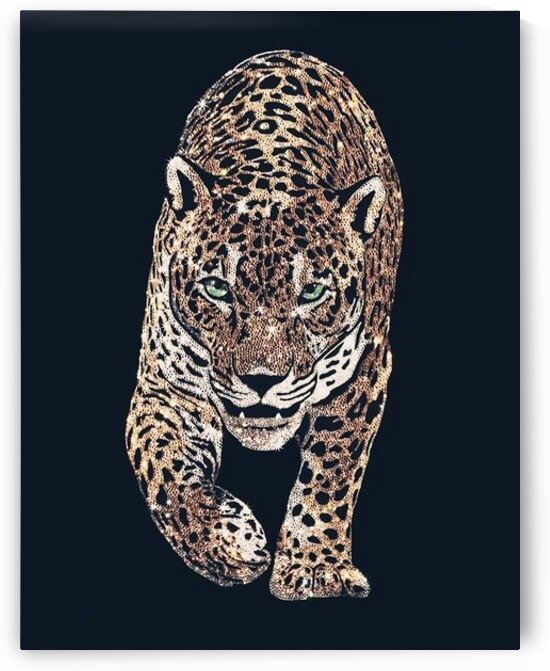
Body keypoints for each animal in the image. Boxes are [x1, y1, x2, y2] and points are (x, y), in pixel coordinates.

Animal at [125, 50, 404, 600]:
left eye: (312, 293)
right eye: (217, 288)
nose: (261, 381)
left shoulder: (364, 375)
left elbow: (331, 472)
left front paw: (315, 570)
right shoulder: (165, 386)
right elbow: (160, 463)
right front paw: (226, 544)